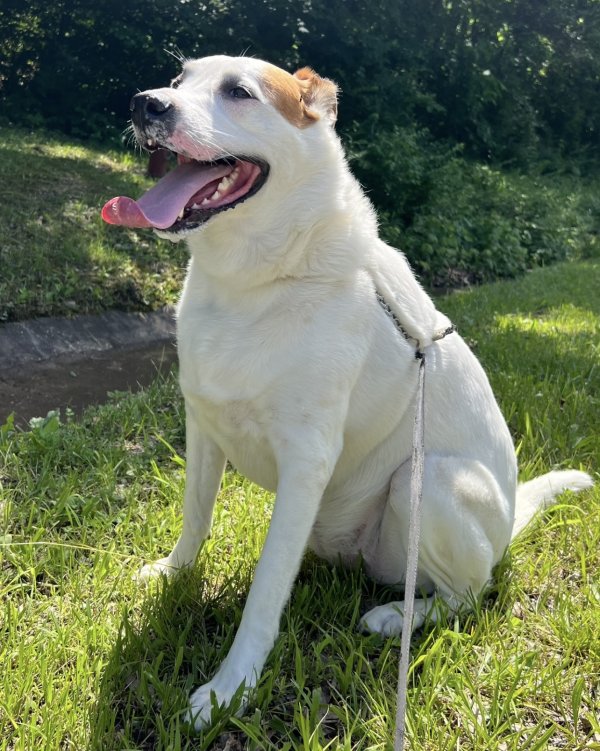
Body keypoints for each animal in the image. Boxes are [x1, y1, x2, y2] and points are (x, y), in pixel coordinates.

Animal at [102, 54, 592, 728]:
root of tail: (506, 532)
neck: (260, 278)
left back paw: (396, 617)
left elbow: (265, 591)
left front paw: (229, 690)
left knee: (467, 595)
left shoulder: (307, 459)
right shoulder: (203, 424)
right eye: (178, 83)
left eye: (239, 92)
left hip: (427, 482)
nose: (144, 103)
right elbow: (195, 519)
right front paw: (172, 575)